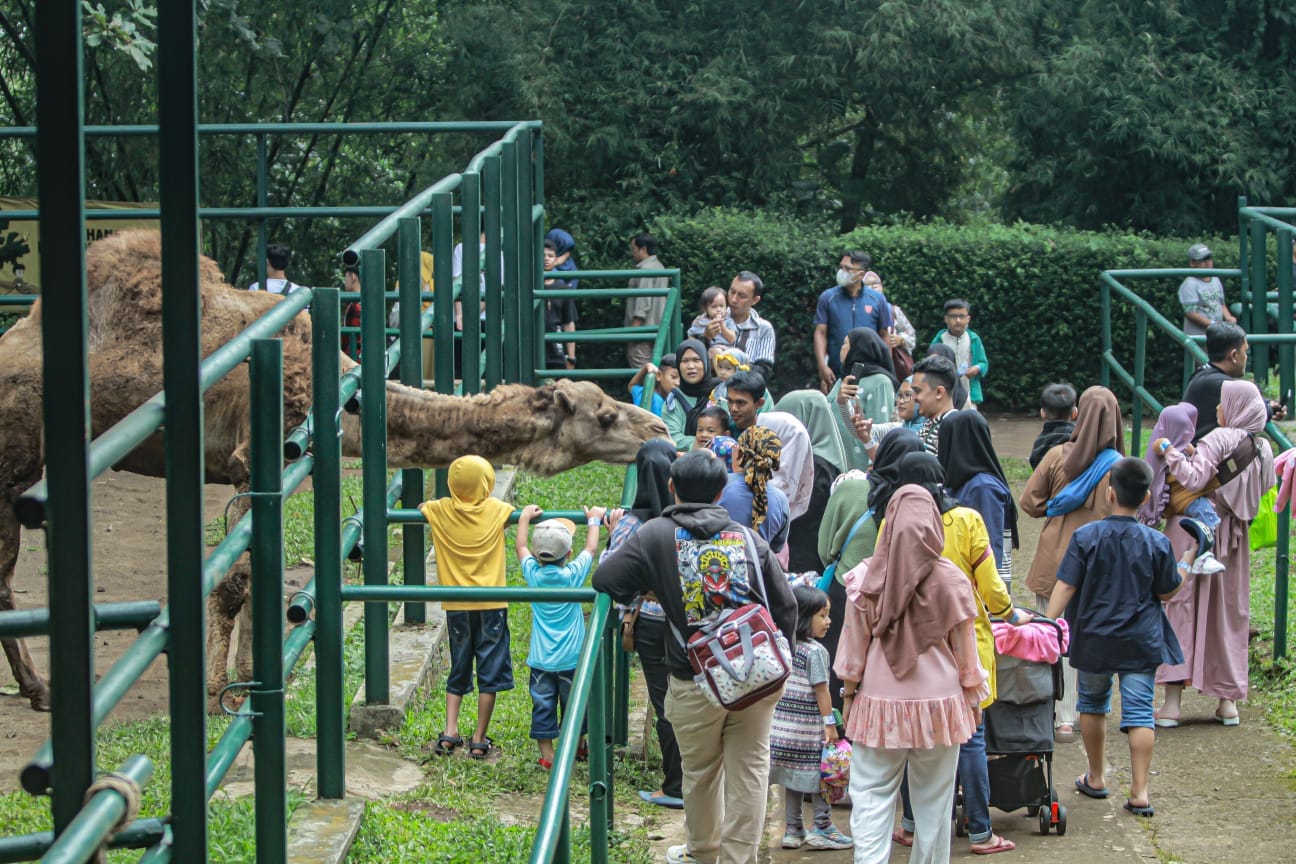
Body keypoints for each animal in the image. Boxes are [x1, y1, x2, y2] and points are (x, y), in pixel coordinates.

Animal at [0, 229, 668, 709]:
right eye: (605, 413)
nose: (658, 429)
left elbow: (256, 575)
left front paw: (248, 685)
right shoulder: (252, 458)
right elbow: (234, 581)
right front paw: (219, 697)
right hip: (13, 452)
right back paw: (39, 691)